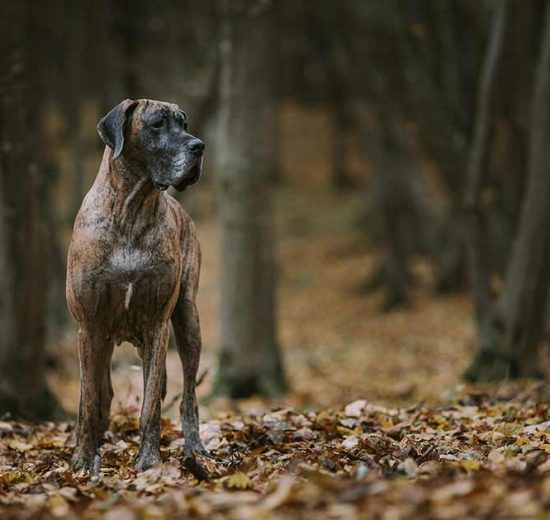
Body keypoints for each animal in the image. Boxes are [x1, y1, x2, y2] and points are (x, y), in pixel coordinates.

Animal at [66, 97, 207, 472]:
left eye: (184, 123)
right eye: (157, 123)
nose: (199, 146)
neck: (132, 209)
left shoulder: (157, 324)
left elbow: (150, 405)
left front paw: (149, 460)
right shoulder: (89, 327)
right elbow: (88, 403)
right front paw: (82, 459)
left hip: (187, 320)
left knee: (188, 398)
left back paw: (195, 448)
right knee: (101, 394)